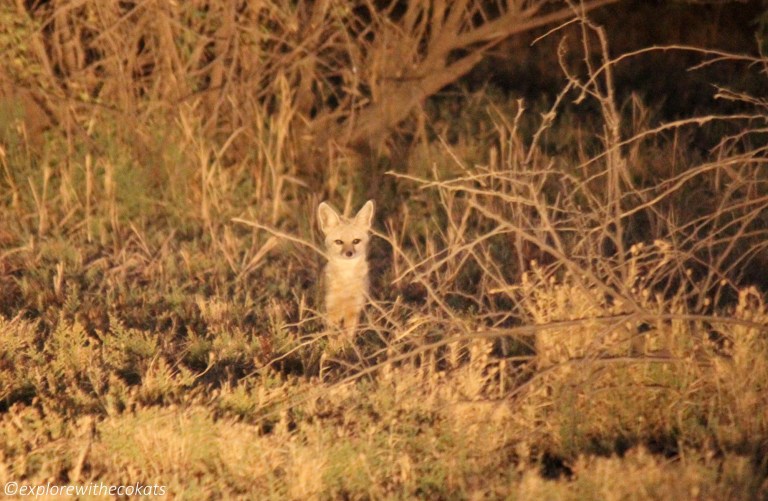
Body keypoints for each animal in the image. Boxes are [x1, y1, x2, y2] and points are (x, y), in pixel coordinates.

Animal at [318, 197, 376, 346]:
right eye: (339, 242)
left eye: (356, 241)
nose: (349, 253)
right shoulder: (331, 309)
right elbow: (332, 335)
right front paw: (333, 348)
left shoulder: (354, 309)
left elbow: (347, 335)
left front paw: (346, 347)